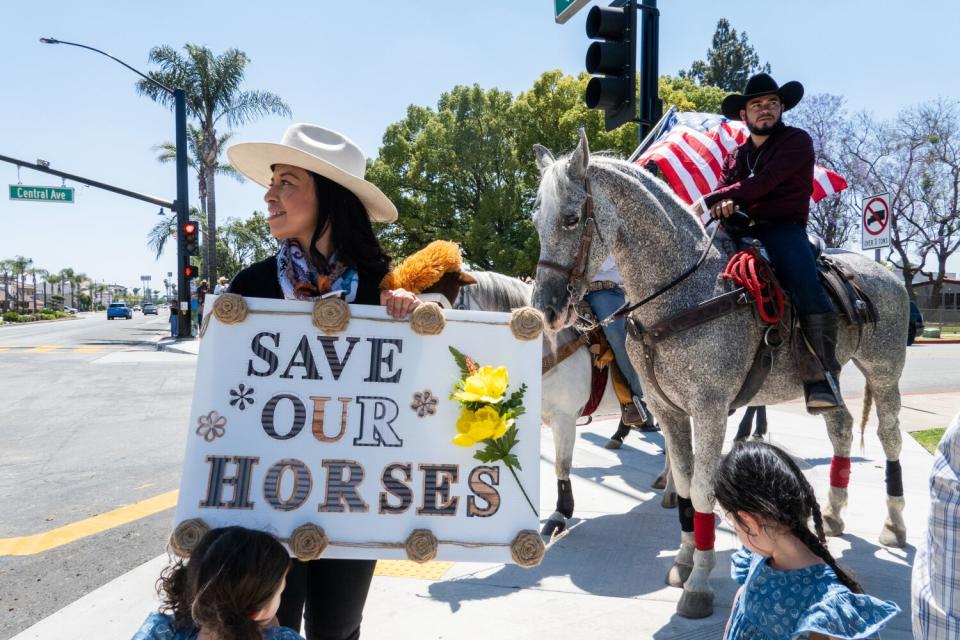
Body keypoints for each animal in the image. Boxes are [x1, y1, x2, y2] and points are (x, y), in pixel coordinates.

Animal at [528, 131, 912, 620]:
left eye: (573, 218)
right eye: (537, 220)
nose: (546, 309)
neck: (683, 292)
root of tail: (885, 273)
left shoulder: (709, 409)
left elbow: (703, 489)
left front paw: (699, 583)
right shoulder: (669, 412)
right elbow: (685, 484)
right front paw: (683, 560)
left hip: (883, 371)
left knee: (889, 437)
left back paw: (894, 523)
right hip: (828, 376)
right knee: (840, 426)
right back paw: (834, 513)